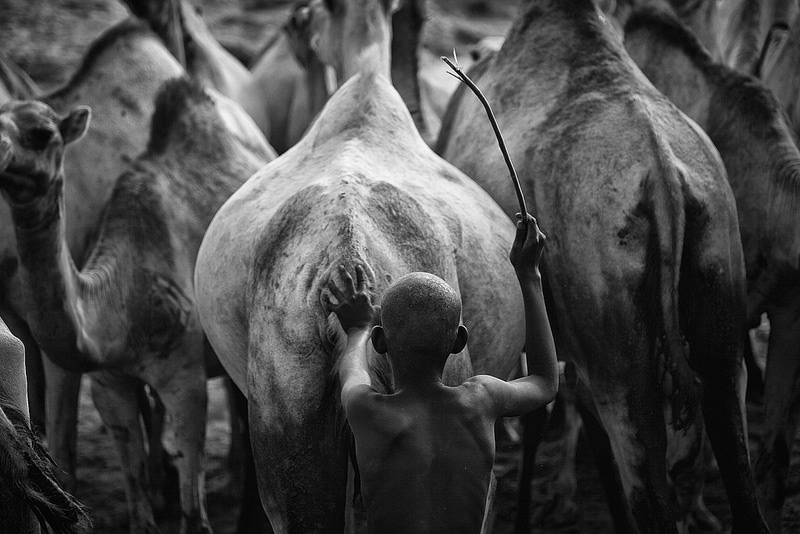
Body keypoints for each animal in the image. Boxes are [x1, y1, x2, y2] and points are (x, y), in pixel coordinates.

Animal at [438, 2, 768, 532]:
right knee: (732, 447)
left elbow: (540, 411)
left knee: (648, 480)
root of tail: (663, 174)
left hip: (619, 351)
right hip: (719, 285)